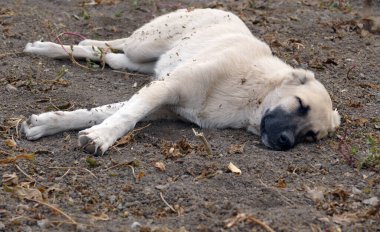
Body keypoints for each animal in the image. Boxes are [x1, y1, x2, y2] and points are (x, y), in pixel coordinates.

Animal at [21, 8, 342, 154]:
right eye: (299, 104)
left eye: (311, 136)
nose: (286, 142)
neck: (252, 93)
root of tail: (220, 8)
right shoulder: (165, 87)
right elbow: (125, 116)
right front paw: (101, 137)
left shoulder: (164, 104)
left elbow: (100, 113)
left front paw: (46, 123)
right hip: (145, 45)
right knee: (115, 44)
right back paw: (47, 47)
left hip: (140, 63)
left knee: (108, 57)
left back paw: (59, 49)